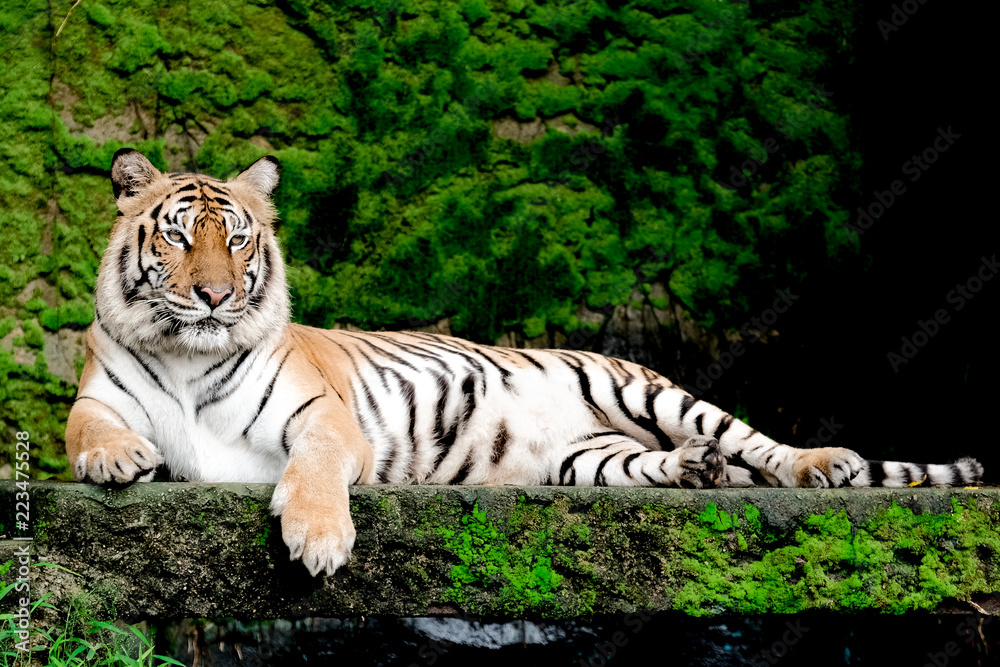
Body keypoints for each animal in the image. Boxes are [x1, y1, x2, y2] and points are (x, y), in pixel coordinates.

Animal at [66, 149, 984, 577]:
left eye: (237, 238)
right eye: (179, 236)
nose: (215, 296)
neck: (191, 355)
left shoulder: (323, 417)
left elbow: (317, 466)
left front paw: (319, 540)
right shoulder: (99, 390)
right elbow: (85, 426)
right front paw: (116, 458)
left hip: (645, 389)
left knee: (759, 442)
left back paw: (822, 464)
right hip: (590, 461)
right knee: (666, 463)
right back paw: (697, 470)